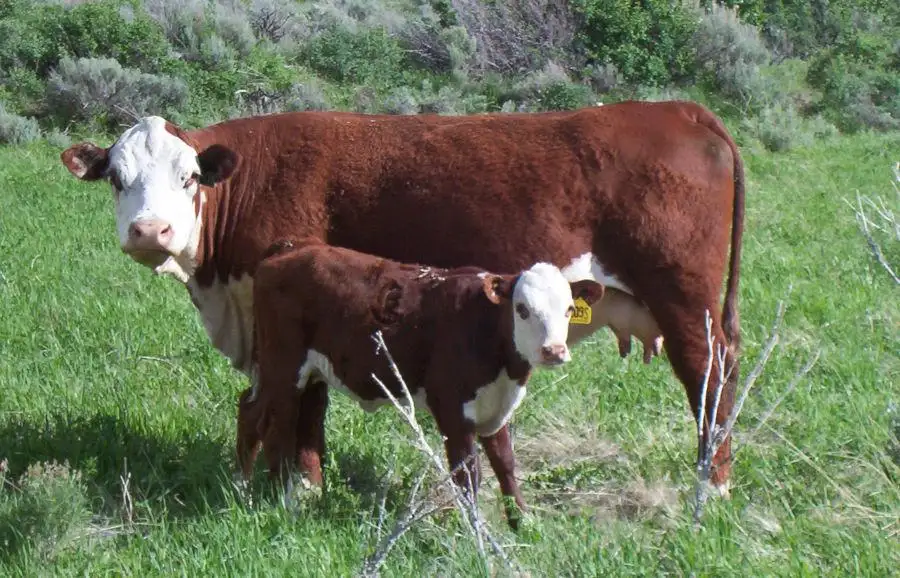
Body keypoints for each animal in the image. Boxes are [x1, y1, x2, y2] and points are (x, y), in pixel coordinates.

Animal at [59, 100, 745, 499]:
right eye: (117, 178)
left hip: (685, 301)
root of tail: (676, 108)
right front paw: (308, 483)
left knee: (708, 378)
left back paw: (712, 486)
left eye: (188, 177)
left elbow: (305, 404)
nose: (150, 231)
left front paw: (300, 488)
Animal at [235, 238, 606, 528]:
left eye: (569, 309)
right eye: (523, 309)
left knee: (252, 411)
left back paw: (247, 487)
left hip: (296, 372)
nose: (554, 351)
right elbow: (468, 473)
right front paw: (476, 533)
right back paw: (285, 501)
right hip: (284, 366)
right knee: (276, 426)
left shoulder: (495, 408)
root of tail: (292, 247)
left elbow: (506, 464)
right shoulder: (453, 410)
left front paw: (521, 523)